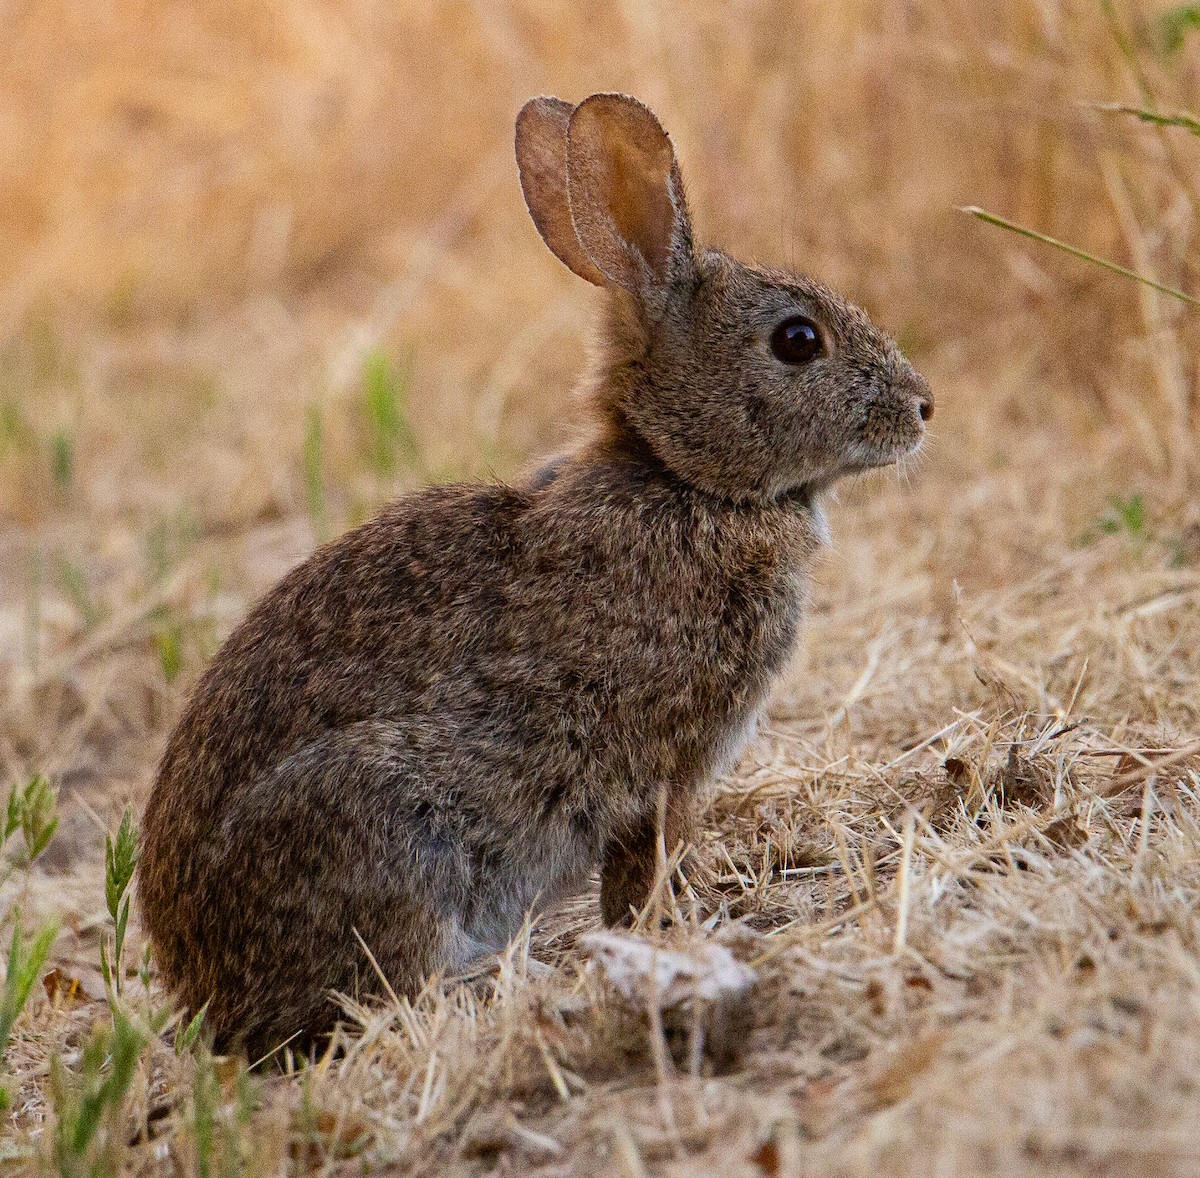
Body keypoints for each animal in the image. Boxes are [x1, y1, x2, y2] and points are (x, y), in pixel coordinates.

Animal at [137, 92, 932, 1055]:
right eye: (797, 340)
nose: (923, 406)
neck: (682, 478)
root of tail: (206, 992)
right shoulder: (672, 763)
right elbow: (646, 870)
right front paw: (677, 933)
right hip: (386, 826)